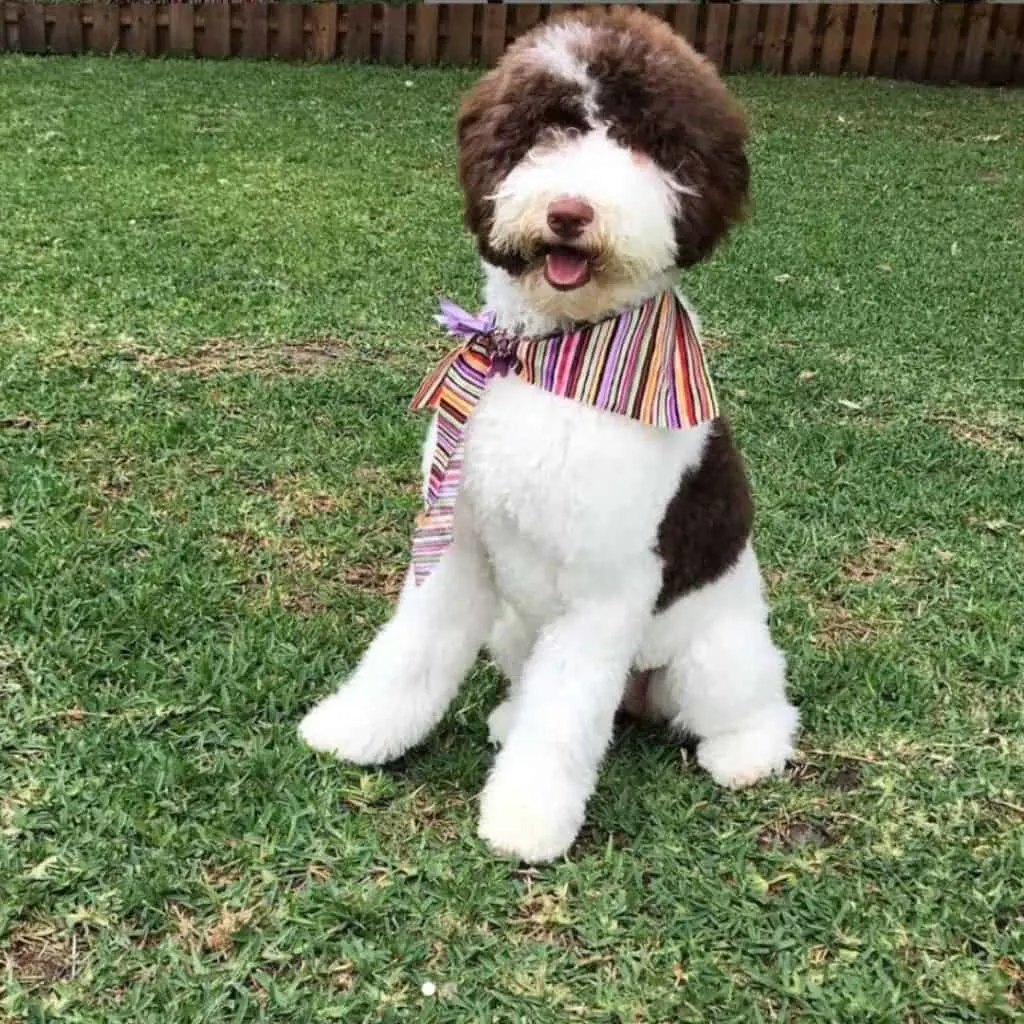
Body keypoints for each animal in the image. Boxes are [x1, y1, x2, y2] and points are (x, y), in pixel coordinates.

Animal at [299, 6, 798, 864]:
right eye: (545, 127)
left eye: (648, 142)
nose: (570, 211)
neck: (550, 357)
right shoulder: (458, 542)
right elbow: (411, 649)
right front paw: (357, 730)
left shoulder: (604, 590)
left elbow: (564, 718)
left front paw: (526, 821)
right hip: (511, 627)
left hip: (713, 656)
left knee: (756, 706)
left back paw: (745, 755)